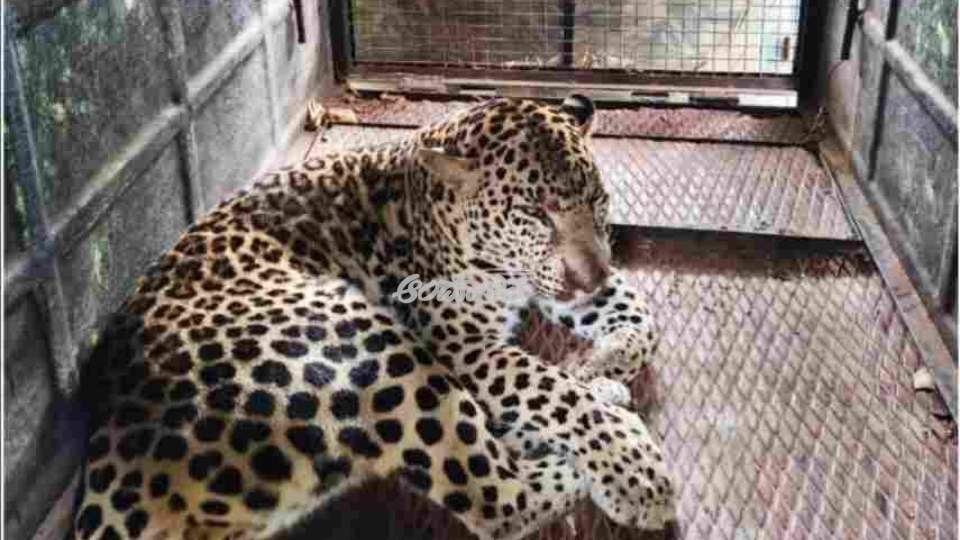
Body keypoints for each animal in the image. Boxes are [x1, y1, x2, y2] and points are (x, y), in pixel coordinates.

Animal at [71, 94, 676, 540]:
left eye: (595, 199)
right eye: (535, 213)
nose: (589, 278)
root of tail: (112, 453)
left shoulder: (552, 282)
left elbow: (639, 317)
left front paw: (598, 364)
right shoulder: (465, 344)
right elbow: (548, 389)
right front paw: (630, 467)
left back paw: (605, 396)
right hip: (367, 339)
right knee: (497, 498)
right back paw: (613, 458)